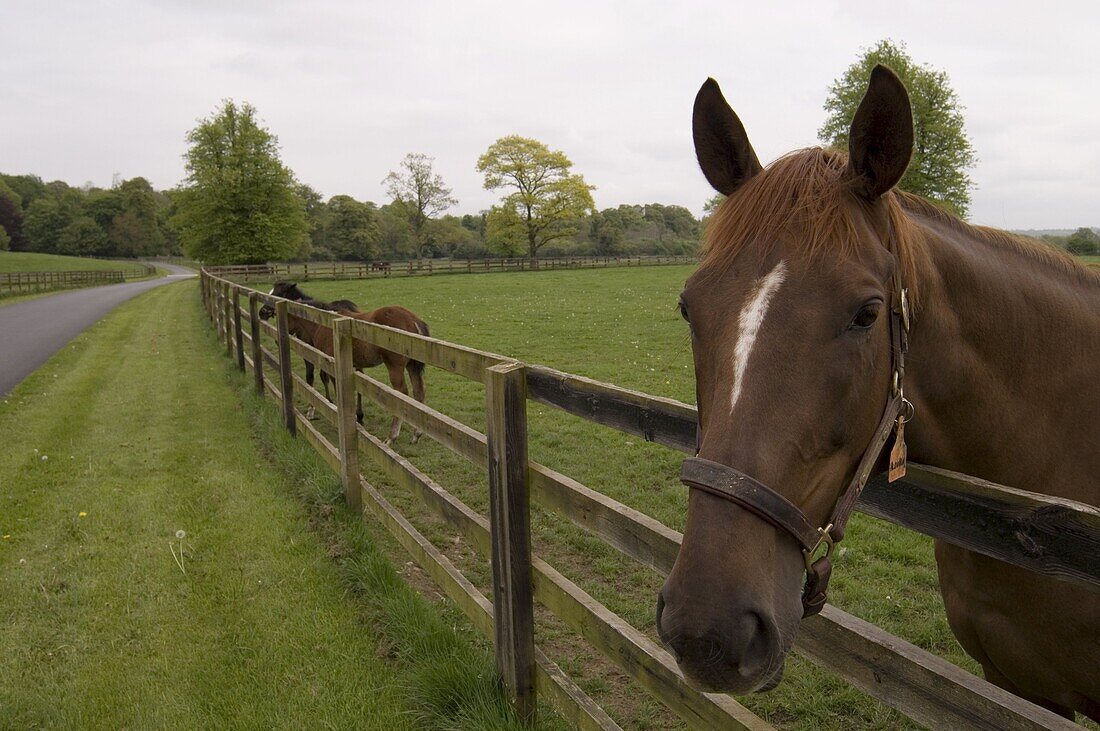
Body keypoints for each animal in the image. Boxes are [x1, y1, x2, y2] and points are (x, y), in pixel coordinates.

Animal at [259, 280, 426, 441]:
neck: (323, 322)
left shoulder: (331, 364)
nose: (262, 313)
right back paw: (416, 434)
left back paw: (391, 437)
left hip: (394, 366)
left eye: (278, 294)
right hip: (412, 365)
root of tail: (413, 319)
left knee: (402, 394)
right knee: (418, 392)